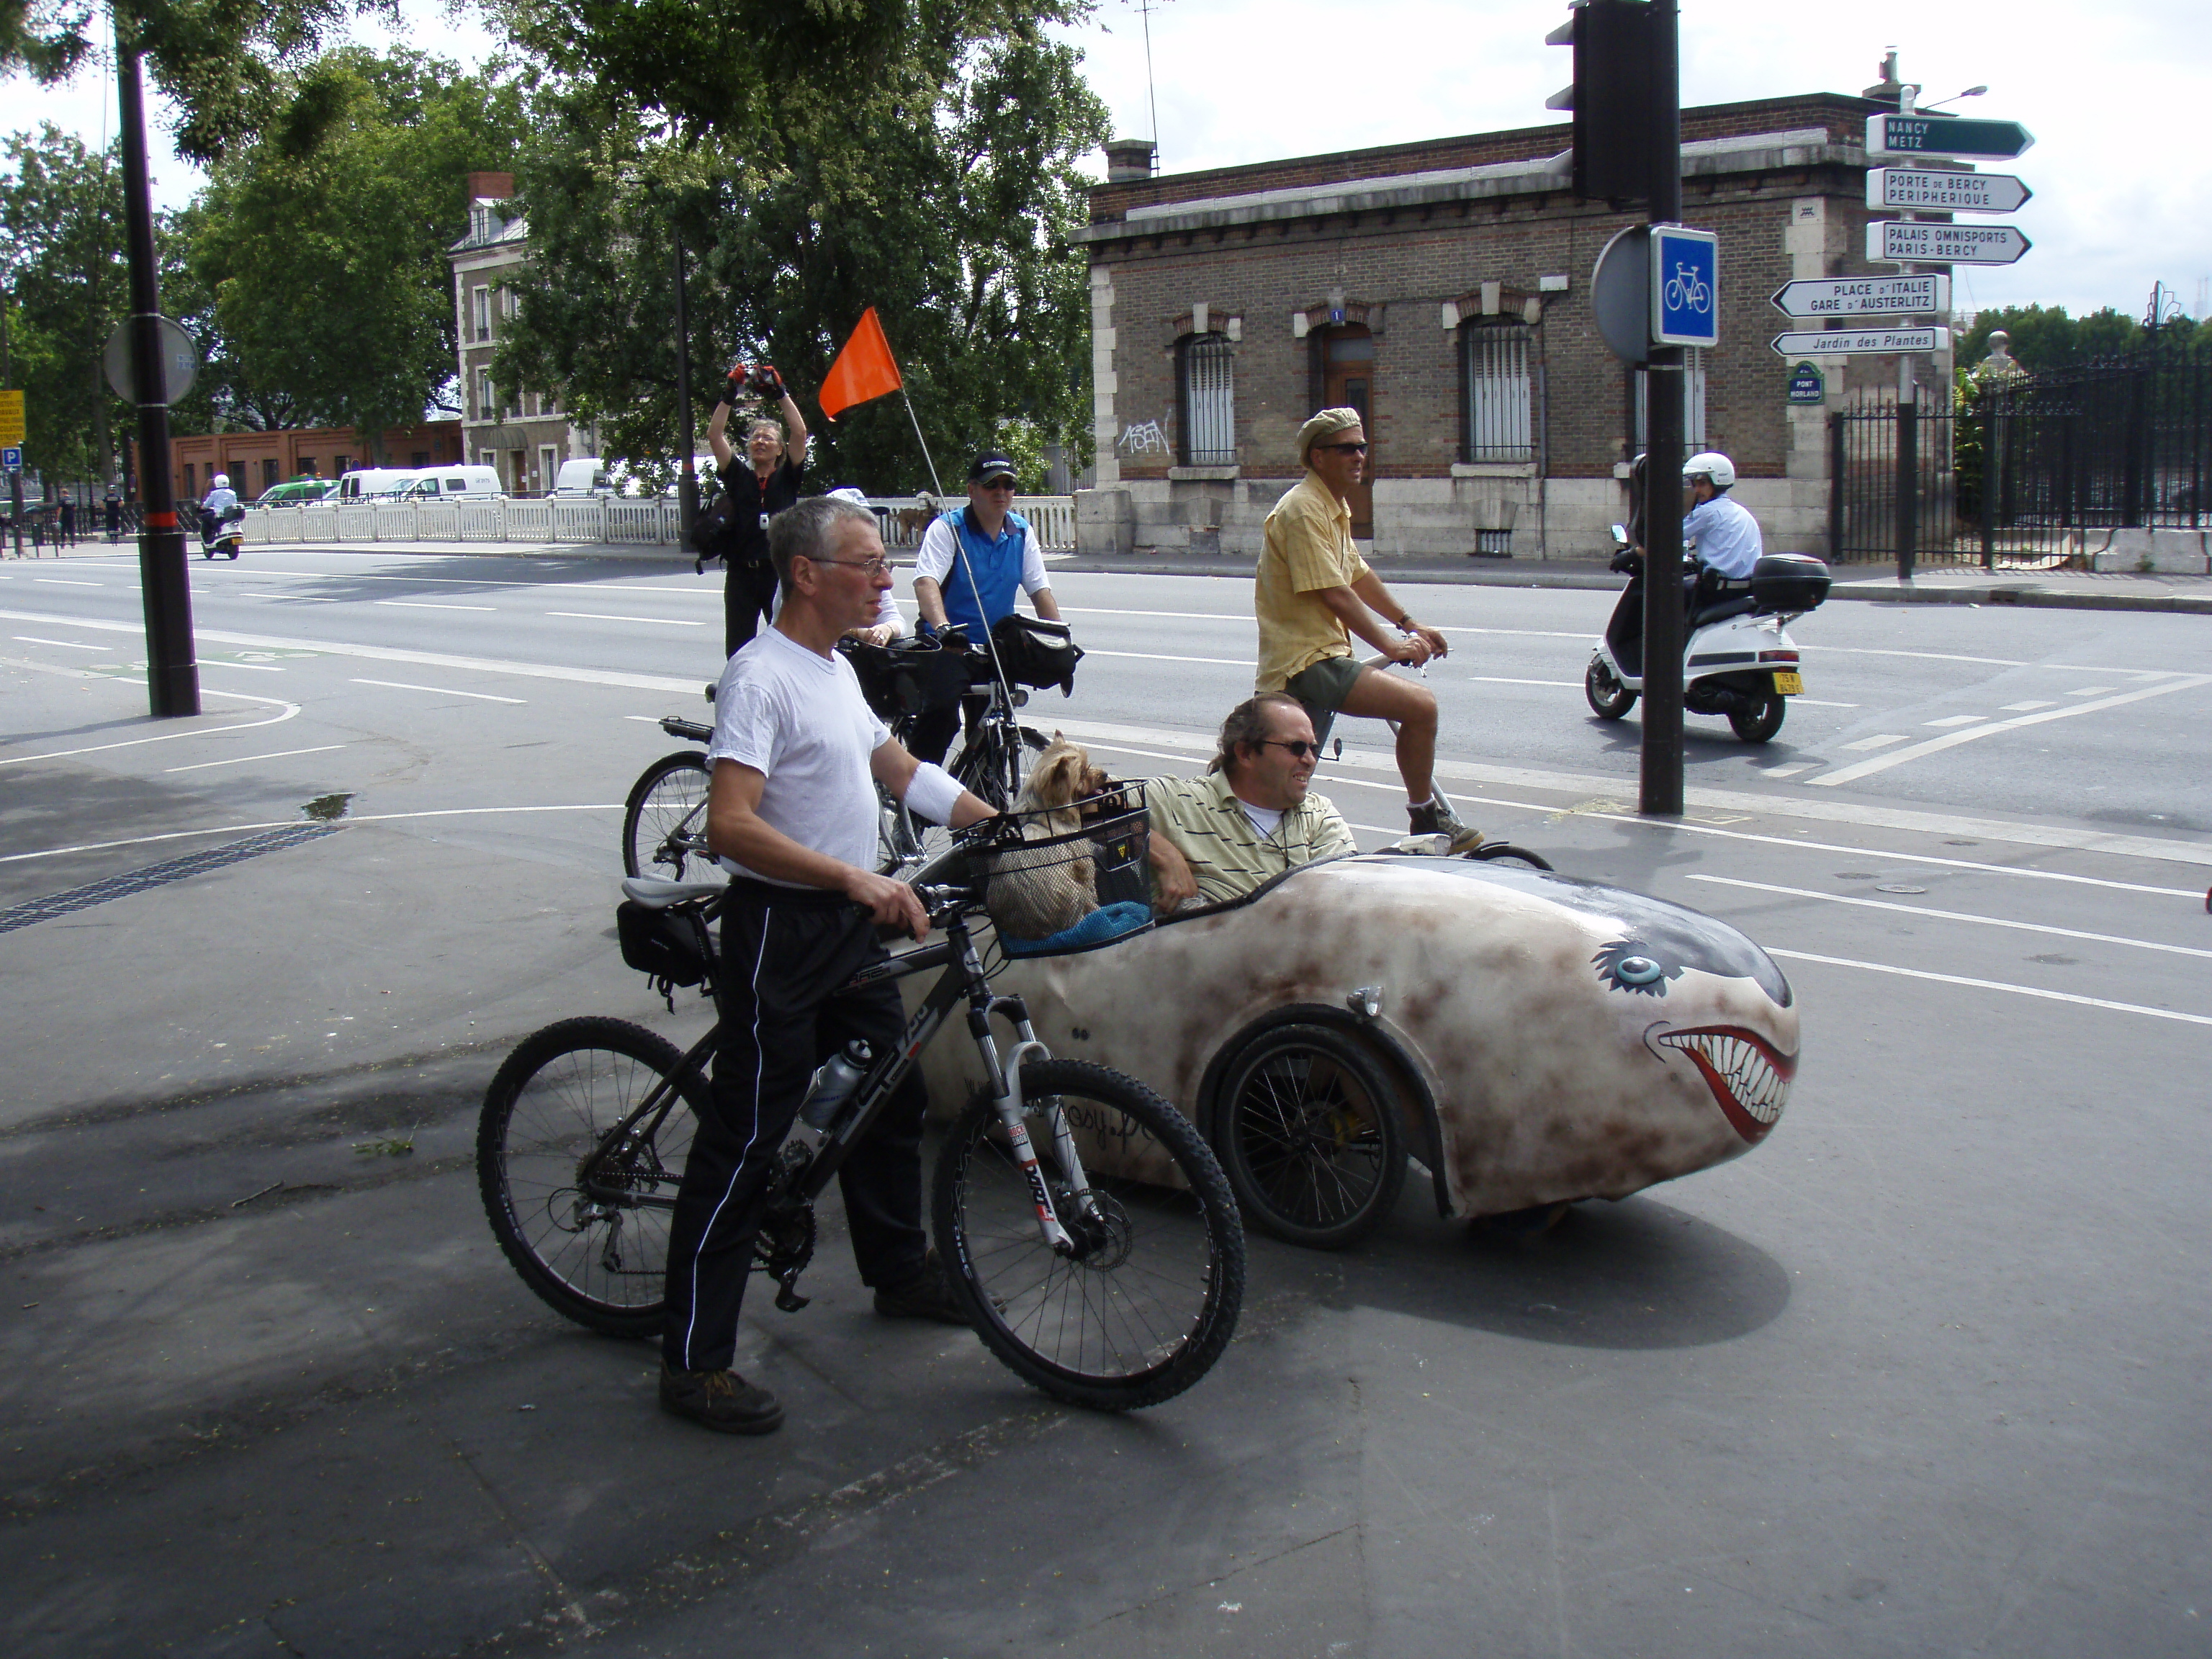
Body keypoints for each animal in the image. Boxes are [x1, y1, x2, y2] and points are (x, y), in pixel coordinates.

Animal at [991, 739, 1115, 942]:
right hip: (1075, 892)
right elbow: (1091, 890)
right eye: (1082, 772)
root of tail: (1036, 933)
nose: (1104, 774)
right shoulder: (1084, 867)